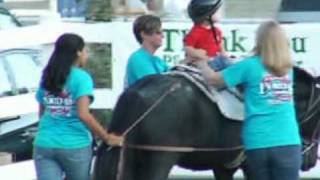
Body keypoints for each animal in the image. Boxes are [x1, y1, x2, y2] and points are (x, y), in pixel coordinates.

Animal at [92, 66, 320, 180]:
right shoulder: (252, 164)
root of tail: (137, 92)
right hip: (159, 160)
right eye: (318, 117)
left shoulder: (223, 167)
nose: (310, 161)